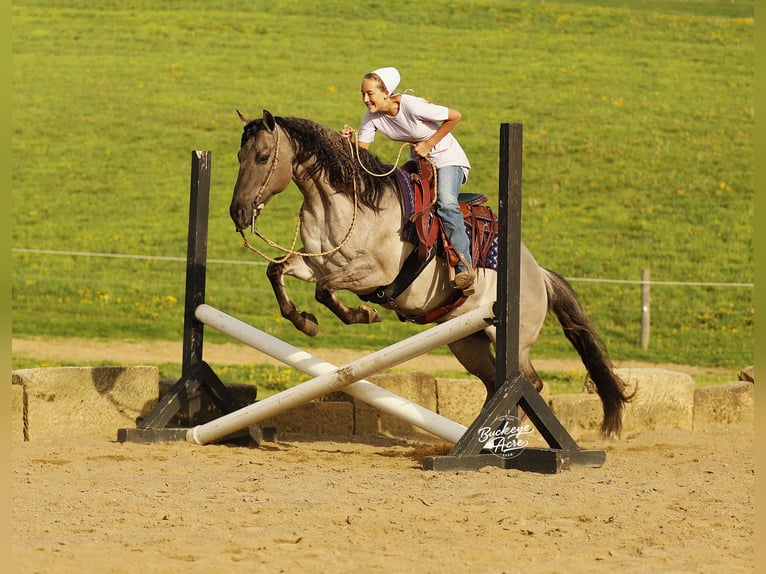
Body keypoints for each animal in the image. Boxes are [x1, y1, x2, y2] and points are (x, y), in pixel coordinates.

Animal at [229, 109, 631, 437]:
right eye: (238, 156)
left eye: (262, 157)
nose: (238, 212)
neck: (345, 203)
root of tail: (537, 274)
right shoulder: (315, 263)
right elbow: (277, 272)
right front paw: (305, 322)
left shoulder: (372, 273)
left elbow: (325, 291)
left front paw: (363, 314)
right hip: (467, 342)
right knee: (493, 384)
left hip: (512, 341)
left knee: (530, 383)